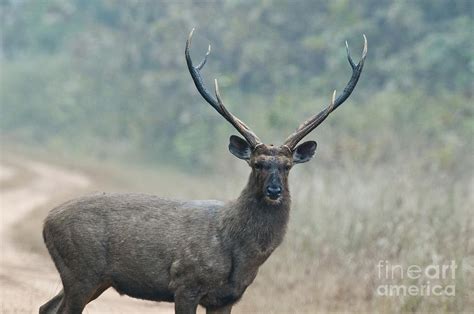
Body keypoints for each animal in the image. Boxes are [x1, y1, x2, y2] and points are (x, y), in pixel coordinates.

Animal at [39, 28, 366, 312]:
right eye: (257, 163)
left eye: (287, 167)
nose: (274, 190)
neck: (240, 254)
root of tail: (46, 222)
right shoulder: (186, 282)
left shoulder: (227, 297)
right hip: (81, 271)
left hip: (94, 279)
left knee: (47, 307)